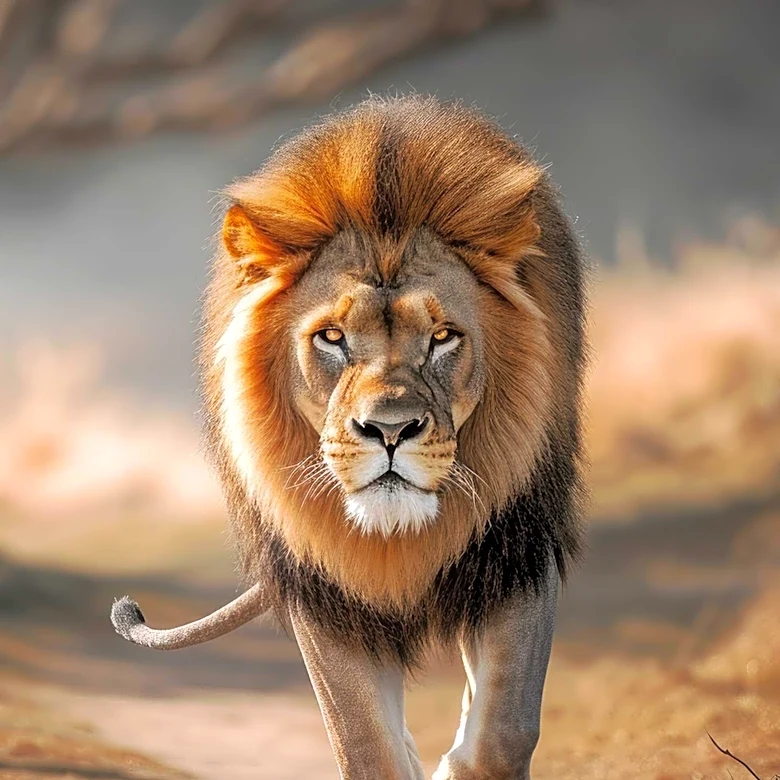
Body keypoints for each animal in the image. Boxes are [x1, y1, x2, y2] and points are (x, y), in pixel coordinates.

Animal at [111, 95, 587, 779]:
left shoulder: (515, 550)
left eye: (443, 336)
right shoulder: (322, 588)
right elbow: (365, 744)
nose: (389, 430)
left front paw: (456, 763)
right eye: (332, 338)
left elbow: (503, 733)